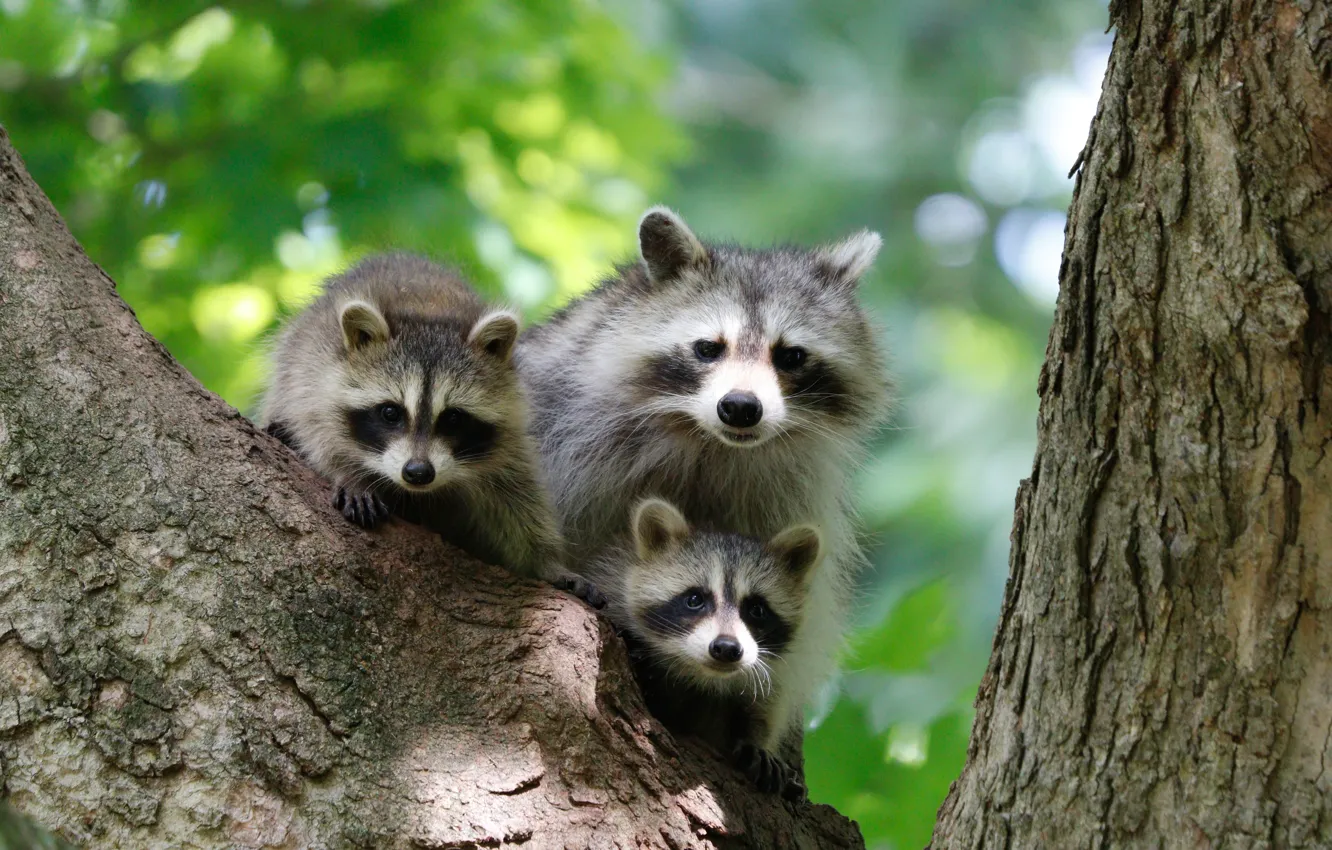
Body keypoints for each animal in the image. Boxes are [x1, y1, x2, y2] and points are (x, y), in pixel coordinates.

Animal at [259, 252, 568, 582]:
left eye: (453, 418)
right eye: (390, 412)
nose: (418, 472)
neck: (428, 311)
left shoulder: (507, 435)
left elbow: (517, 492)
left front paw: (546, 561)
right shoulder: (314, 378)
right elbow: (317, 435)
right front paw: (351, 473)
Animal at [517, 207, 891, 751]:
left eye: (790, 356)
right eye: (708, 348)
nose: (740, 407)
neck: (709, 440)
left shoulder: (793, 492)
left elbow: (804, 610)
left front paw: (762, 720)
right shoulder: (561, 425)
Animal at [584, 497, 821, 799]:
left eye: (756, 609)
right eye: (695, 599)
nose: (727, 648)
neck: (701, 675)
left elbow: (767, 703)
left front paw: (757, 740)